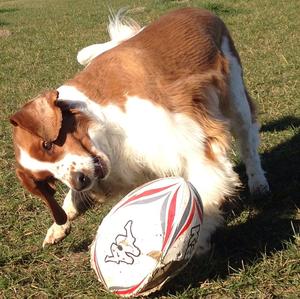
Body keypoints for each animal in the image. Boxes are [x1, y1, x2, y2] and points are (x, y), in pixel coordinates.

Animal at [9, 8, 270, 252]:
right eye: (47, 179)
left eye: (47, 144)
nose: (79, 181)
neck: (102, 116)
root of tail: (198, 10)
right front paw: (60, 224)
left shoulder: (193, 142)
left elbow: (205, 194)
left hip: (235, 96)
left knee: (248, 140)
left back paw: (258, 182)